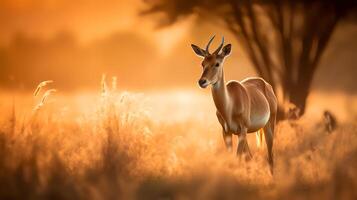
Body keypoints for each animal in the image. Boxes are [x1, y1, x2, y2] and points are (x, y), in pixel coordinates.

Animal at [191, 36, 276, 172]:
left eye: (217, 63)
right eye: (202, 63)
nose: (202, 81)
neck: (229, 106)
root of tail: (267, 85)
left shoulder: (242, 130)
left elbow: (237, 160)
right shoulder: (227, 132)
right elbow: (233, 160)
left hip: (269, 125)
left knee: (271, 157)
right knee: (250, 157)